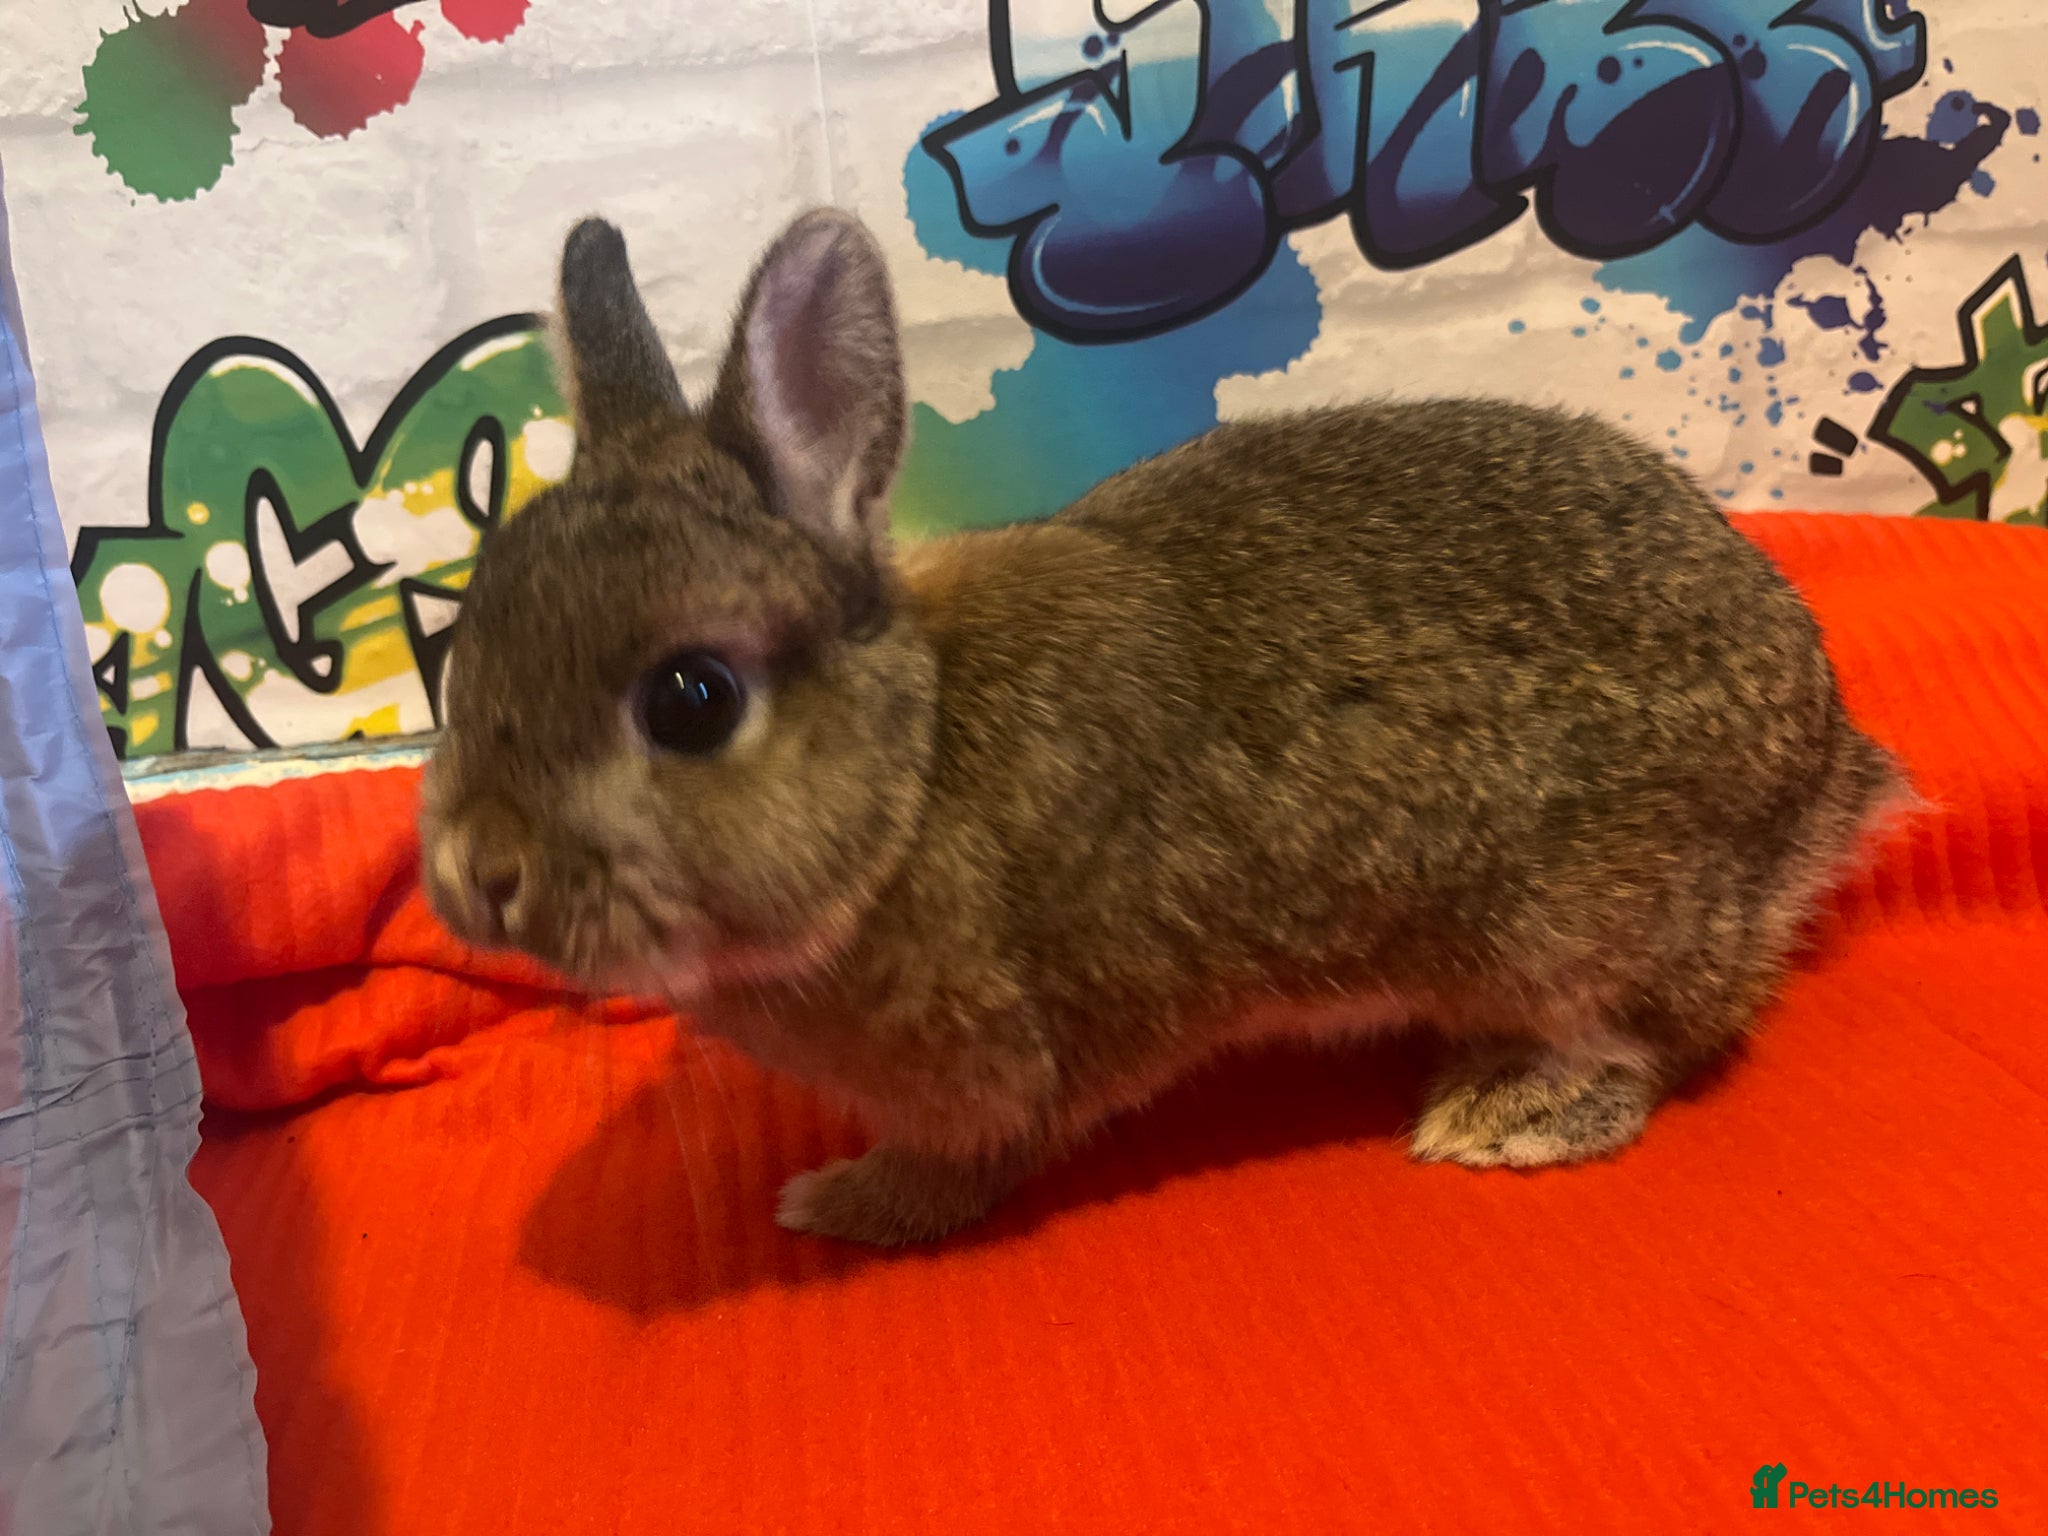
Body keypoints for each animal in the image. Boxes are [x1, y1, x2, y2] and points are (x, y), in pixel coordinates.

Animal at [418, 206, 1909, 1248]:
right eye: (464, 640)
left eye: (692, 700)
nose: (476, 877)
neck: (909, 789)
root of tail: (1826, 766)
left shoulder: (1010, 1071)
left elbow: (959, 1171)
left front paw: (837, 1207)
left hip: (1568, 930)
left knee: (1657, 1040)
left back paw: (1506, 1112)